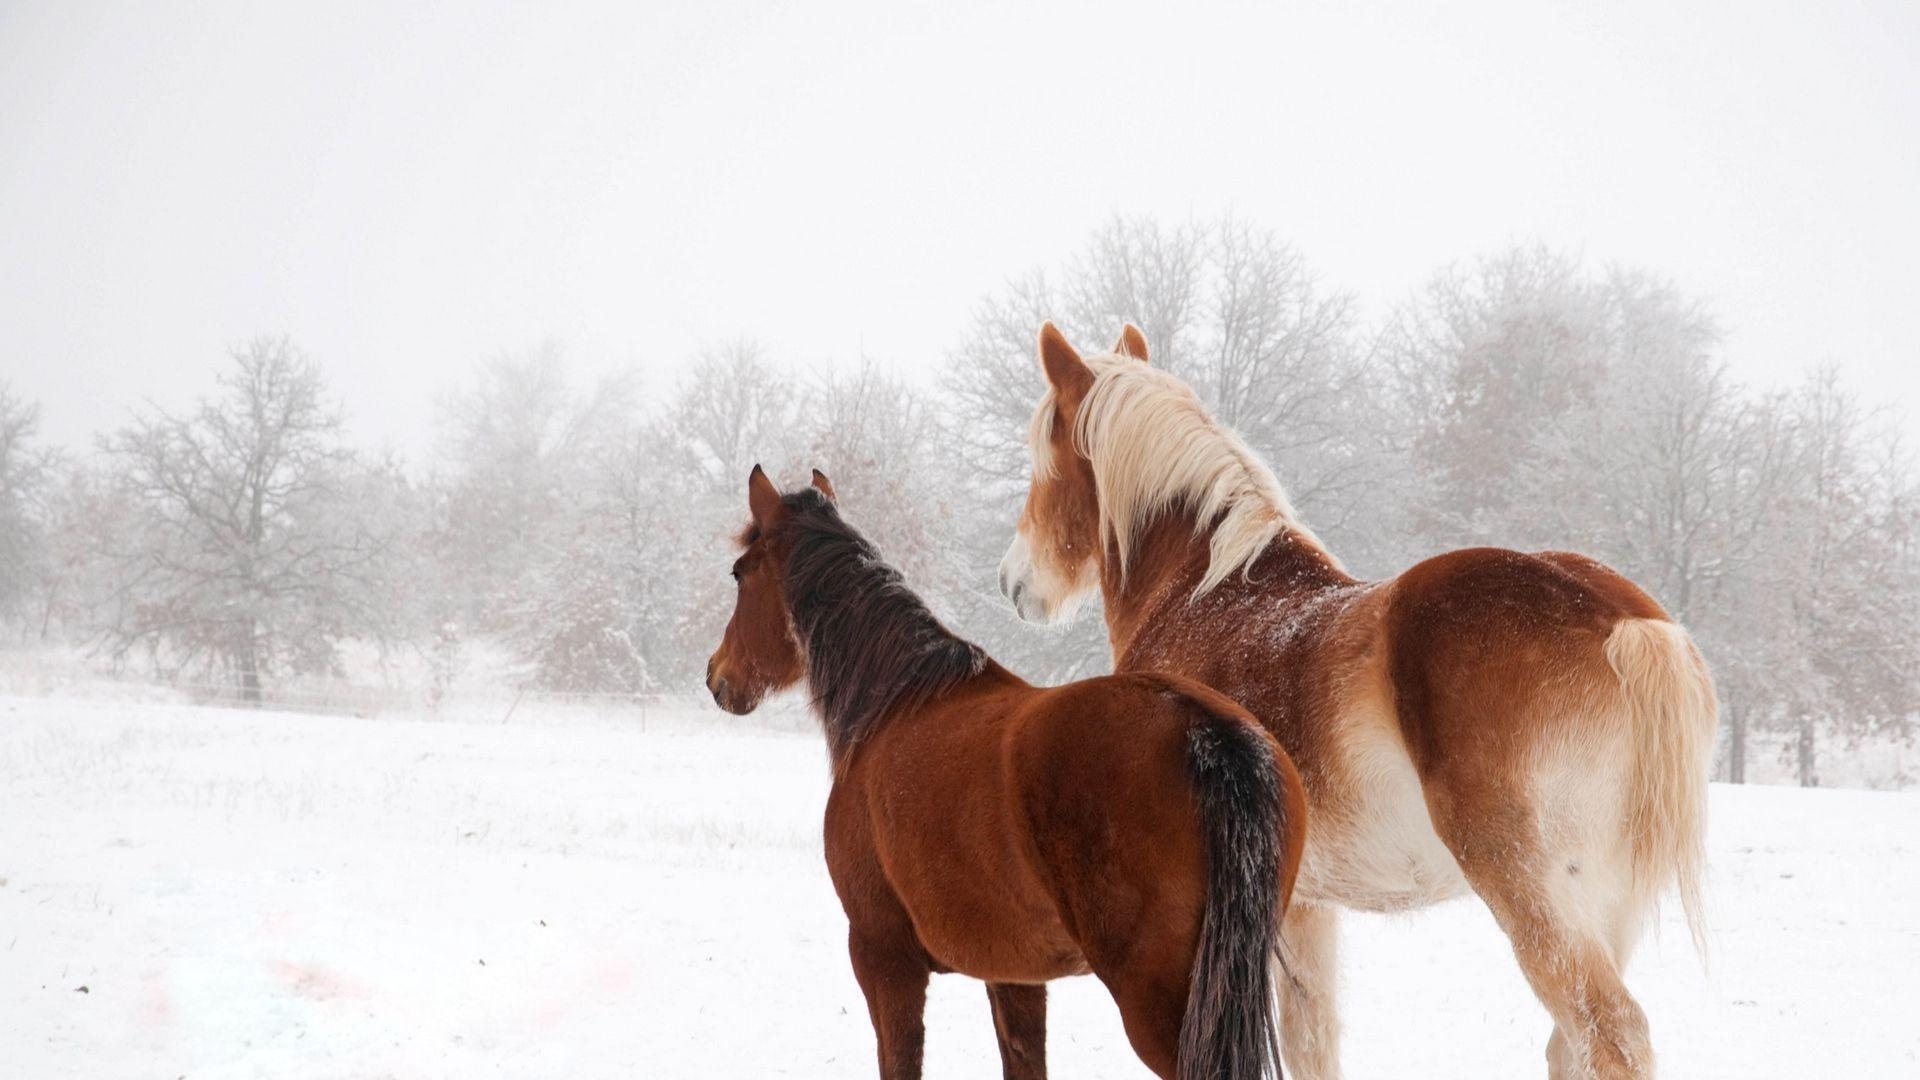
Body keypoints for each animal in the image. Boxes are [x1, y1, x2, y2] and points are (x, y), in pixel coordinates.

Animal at [714, 465, 1313, 1076]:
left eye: (740, 573)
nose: (718, 677)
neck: (894, 706)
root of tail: (1207, 729)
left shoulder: (883, 959)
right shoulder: (1013, 976)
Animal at [998, 320, 1720, 1076]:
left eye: (1042, 457)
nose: (1013, 582)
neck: (1204, 597)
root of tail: (1620, 618)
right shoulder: (1306, 908)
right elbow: (1315, 1040)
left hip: (1534, 891)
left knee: (1610, 1030)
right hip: (1607, 904)